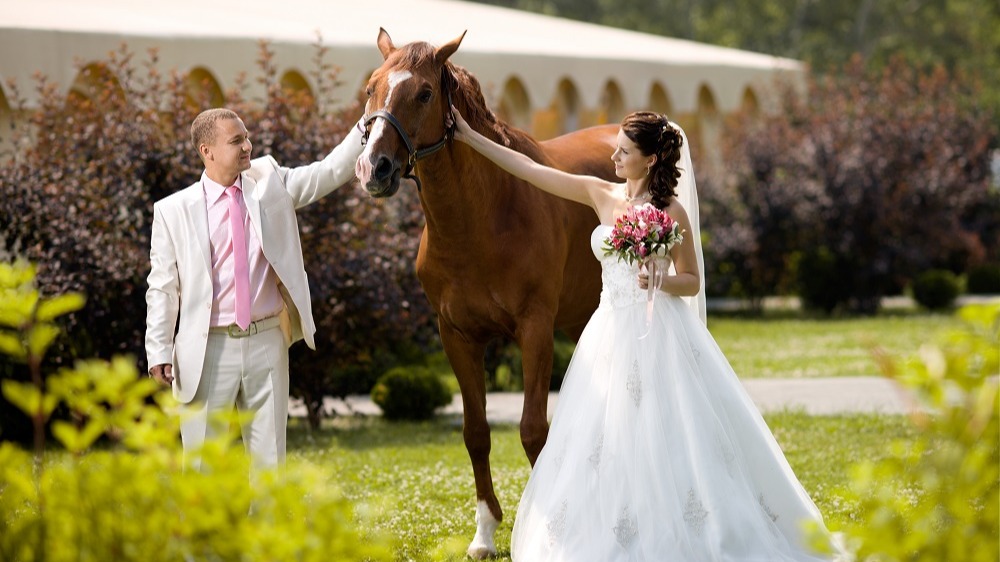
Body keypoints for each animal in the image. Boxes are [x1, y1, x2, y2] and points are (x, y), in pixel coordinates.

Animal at [356, 29, 620, 556]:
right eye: (372, 87)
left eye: (424, 93)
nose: (375, 168)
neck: (482, 218)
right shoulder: (457, 336)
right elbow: (476, 433)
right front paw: (484, 533)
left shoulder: (535, 329)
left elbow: (534, 432)